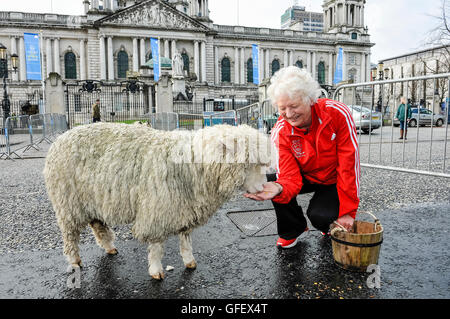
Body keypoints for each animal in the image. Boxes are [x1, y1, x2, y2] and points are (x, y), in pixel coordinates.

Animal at [44, 122, 270, 280]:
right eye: (249, 164)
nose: (262, 188)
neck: (194, 165)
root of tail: (60, 138)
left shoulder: (184, 207)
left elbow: (185, 240)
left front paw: (189, 261)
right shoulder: (157, 209)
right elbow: (156, 246)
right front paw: (156, 270)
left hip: (92, 198)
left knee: (97, 224)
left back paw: (109, 247)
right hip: (67, 202)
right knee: (70, 234)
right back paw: (74, 260)